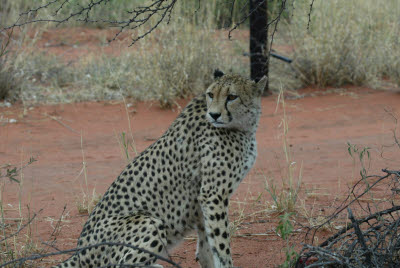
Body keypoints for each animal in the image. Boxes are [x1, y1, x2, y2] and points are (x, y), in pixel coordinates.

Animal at [56, 71, 268, 268]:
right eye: (210, 94)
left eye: (232, 96)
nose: (214, 115)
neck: (243, 125)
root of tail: (78, 252)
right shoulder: (213, 194)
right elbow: (221, 243)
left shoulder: (202, 198)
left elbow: (207, 242)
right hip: (151, 222)